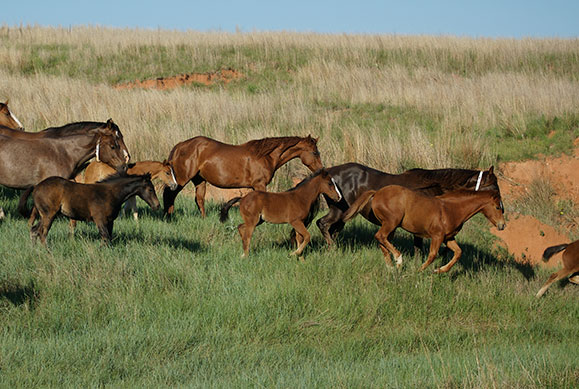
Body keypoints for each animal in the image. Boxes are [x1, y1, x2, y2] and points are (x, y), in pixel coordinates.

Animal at [30, 174, 159, 246]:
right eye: (150, 189)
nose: (157, 205)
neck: (111, 193)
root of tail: (36, 188)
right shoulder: (99, 219)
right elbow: (105, 237)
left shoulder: (110, 221)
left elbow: (108, 238)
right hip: (49, 215)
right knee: (42, 233)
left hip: (46, 215)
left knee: (34, 230)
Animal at [164, 135, 326, 217]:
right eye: (315, 152)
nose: (321, 170)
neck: (266, 156)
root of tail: (181, 145)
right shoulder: (260, 184)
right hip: (182, 178)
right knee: (169, 195)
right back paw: (168, 215)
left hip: (200, 180)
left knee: (199, 200)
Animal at [314, 162, 500, 247]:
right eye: (495, 189)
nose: (502, 208)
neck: (433, 187)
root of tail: (329, 172)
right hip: (338, 211)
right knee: (322, 224)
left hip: (343, 215)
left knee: (332, 230)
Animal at [342, 185, 506, 272]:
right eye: (498, 207)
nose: (502, 225)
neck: (451, 209)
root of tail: (377, 192)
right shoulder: (437, 236)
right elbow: (432, 255)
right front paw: (419, 271)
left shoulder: (448, 238)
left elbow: (458, 252)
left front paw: (439, 270)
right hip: (391, 222)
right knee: (380, 236)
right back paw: (398, 260)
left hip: (391, 226)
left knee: (382, 240)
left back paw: (391, 266)